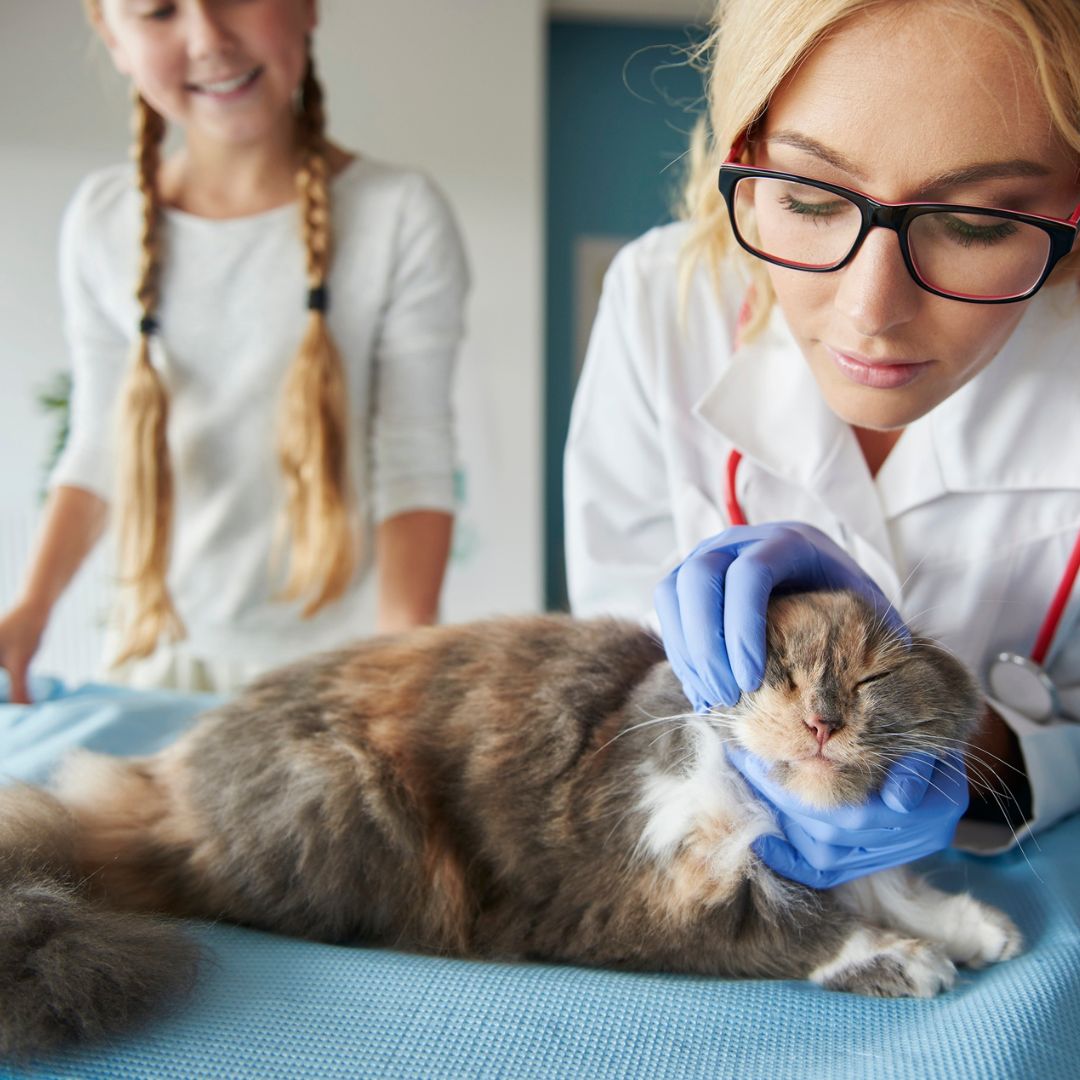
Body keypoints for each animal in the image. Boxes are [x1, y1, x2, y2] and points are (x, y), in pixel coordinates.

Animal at [0, 591, 1019, 1054]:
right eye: (770, 670)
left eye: (871, 678)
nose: (821, 722)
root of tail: (160, 787)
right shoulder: (646, 898)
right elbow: (808, 924)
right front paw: (908, 959)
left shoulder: (838, 849)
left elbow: (888, 880)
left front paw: (975, 927)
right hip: (353, 796)